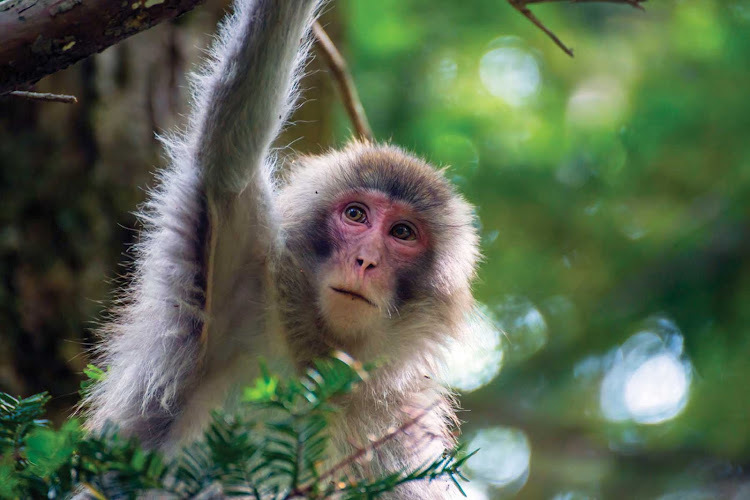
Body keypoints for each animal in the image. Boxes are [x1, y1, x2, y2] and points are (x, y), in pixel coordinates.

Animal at [82, 0, 482, 496]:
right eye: (356, 215)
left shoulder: (402, 425)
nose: (365, 261)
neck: (318, 362)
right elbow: (228, 157)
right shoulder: (241, 284)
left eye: (402, 233)